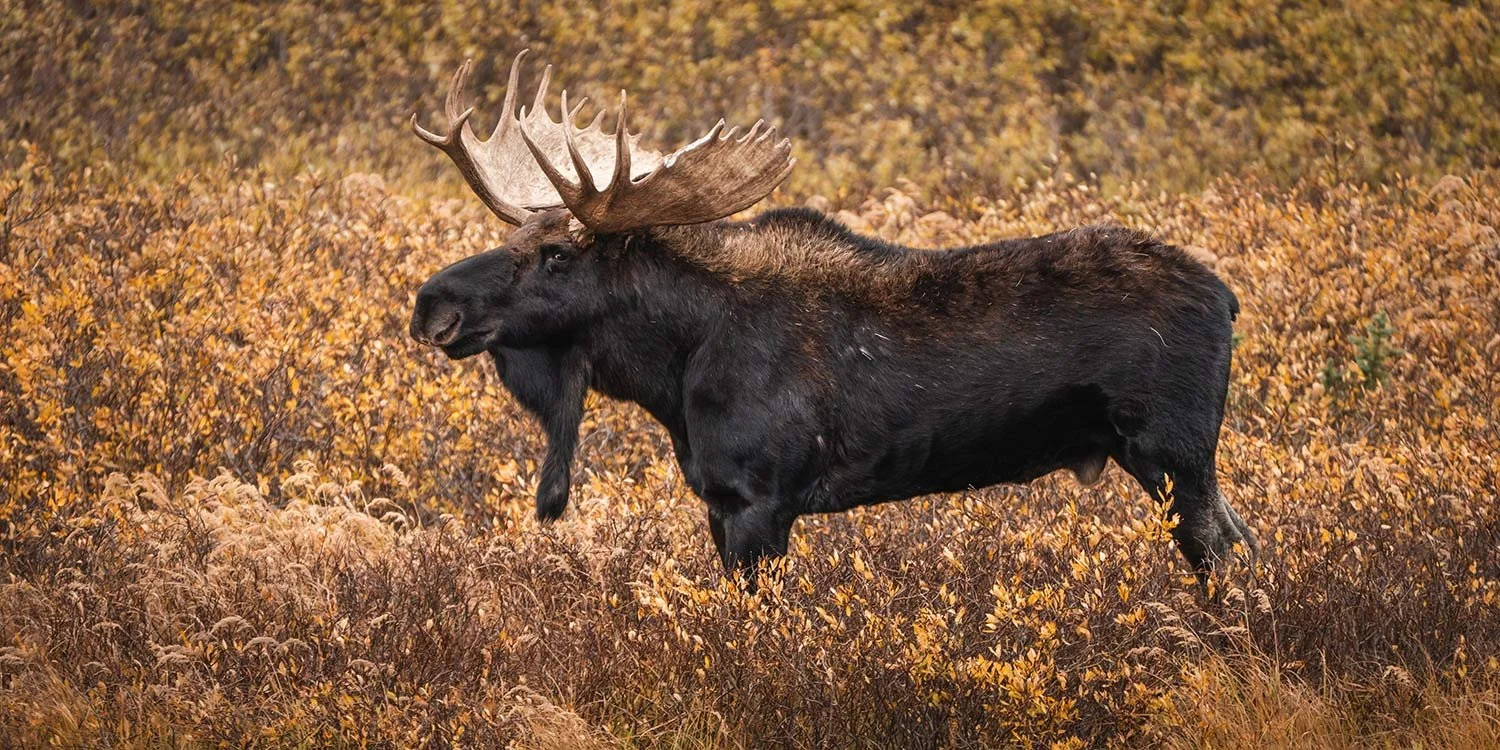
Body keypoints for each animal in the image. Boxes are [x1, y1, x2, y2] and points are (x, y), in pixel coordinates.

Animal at [408, 52, 1256, 583]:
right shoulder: (718, 502)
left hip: (1171, 451)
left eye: (556, 254)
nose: (431, 304)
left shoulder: (758, 500)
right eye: (516, 237)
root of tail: (1230, 299)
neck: (675, 369)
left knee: (1226, 557)